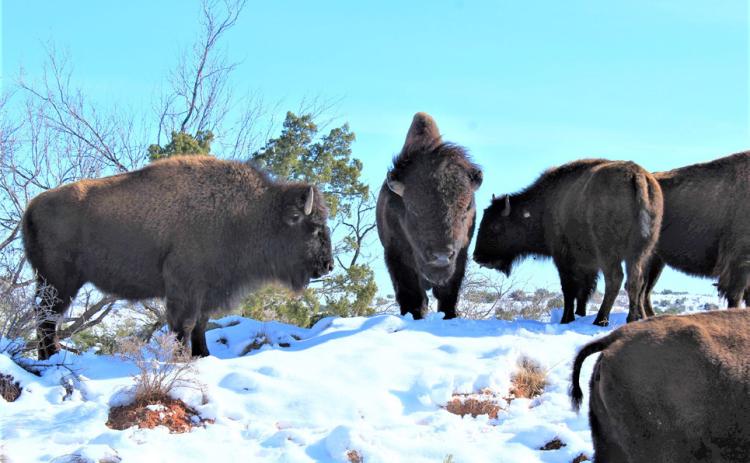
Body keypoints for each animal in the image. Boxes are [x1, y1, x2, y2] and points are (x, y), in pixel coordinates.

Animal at [22, 156, 334, 359]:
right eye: (313, 226)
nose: (328, 265)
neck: (251, 213)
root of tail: (32, 206)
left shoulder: (207, 291)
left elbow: (201, 325)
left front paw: (203, 355)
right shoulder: (185, 288)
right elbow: (184, 324)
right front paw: (181, 357)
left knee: (46, 319)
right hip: (58, 283)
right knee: (47, 319)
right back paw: (51, 357)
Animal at [376, 112, 483, 319]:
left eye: (465, 209)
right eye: (414, 209)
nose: (441, 256)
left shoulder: (460, 256)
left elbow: (448, 294)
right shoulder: (396, 255)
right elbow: (413, 294)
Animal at [474, 159, 663, 325]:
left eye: (495, 226)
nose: (477, 257)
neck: (546, 205)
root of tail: (636, 176)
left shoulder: (564, 258)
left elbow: (569, 288)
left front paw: (567, 319)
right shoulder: (588, 265)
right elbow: (584, 292)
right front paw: (579, 314)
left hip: (609, 254)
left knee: (615, 279)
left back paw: (600, 320)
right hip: (639, 253)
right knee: (635, 281)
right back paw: (632, 319)